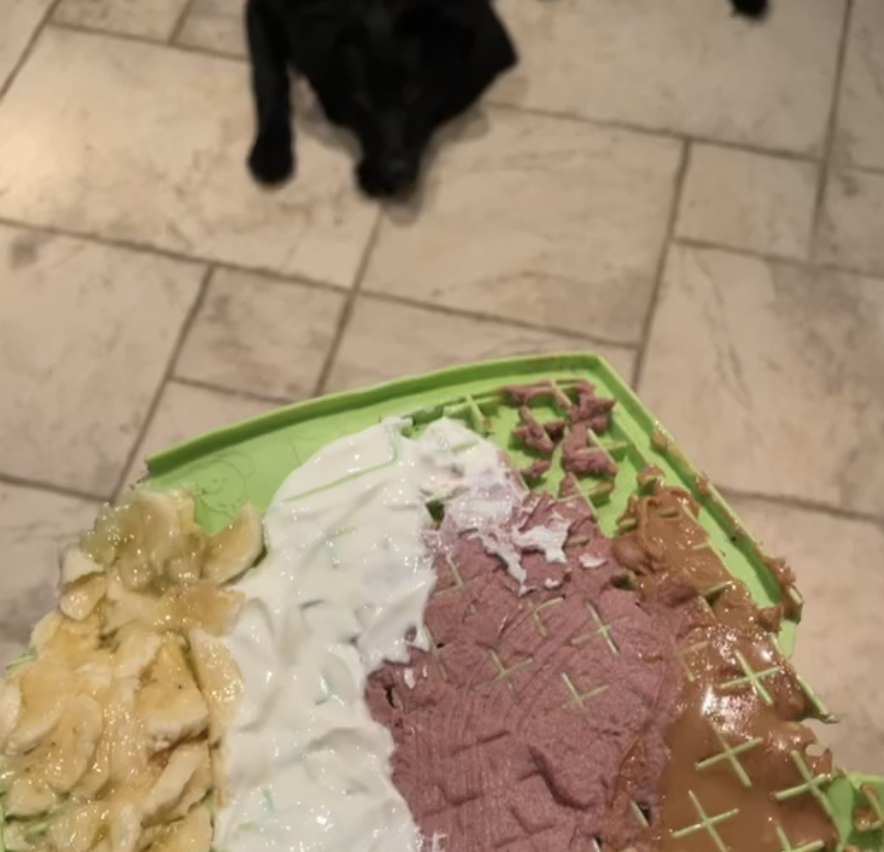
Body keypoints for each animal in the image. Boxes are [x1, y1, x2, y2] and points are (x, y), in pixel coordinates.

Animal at [245, 0, 517, 197]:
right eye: (362, 101)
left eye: (414, 94)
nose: (397, 172)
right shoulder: (262, 9)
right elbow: (268, 78)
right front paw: (270, 152)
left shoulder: (490, 43)